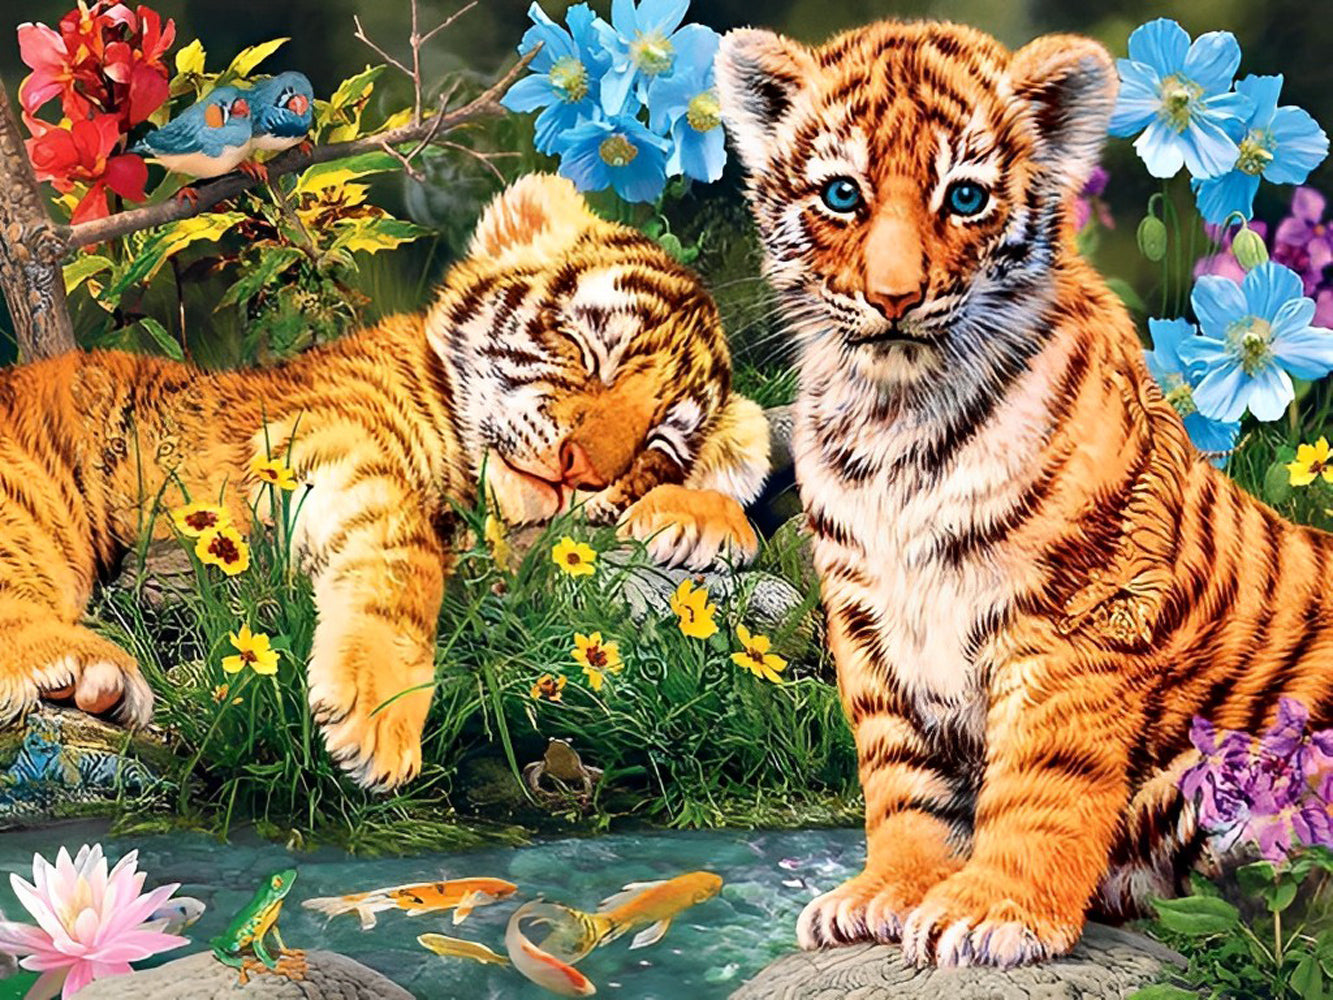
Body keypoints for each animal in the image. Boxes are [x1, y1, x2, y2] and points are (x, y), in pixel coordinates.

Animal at [0, 173, 770, 791]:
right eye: (588, 350)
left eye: (656, 442)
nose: (581, 471)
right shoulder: (330, 439)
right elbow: (402, 562)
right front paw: (378, 717)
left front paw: (709, 515)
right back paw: (82, 671)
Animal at [715, 18, 1333, 969]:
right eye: (842, 194)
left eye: (965, 198)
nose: (892, 297)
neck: (897, 414)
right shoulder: (867, 615)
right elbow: (899, 776)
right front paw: (883, 893)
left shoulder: (1080, 617)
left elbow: (1043, 779)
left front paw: (992, 911)